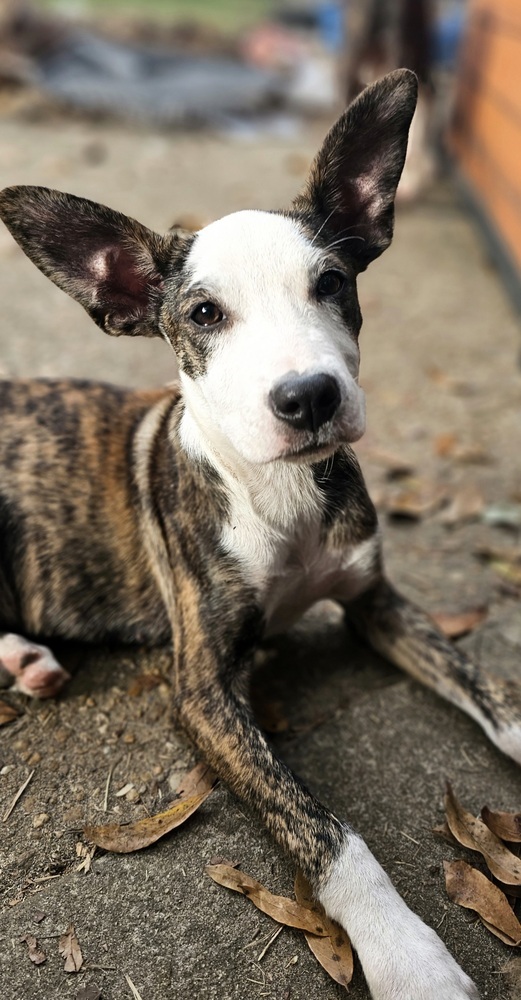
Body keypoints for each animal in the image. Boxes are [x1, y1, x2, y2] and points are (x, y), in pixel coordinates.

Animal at [0, 68, 512, 992]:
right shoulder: (203, 692)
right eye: (203, 314)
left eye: (332, 282)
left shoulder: (376, 601)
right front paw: (408, 956)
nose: (308, 397)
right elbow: (327, 834)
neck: (283, 492)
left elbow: (489, 690)